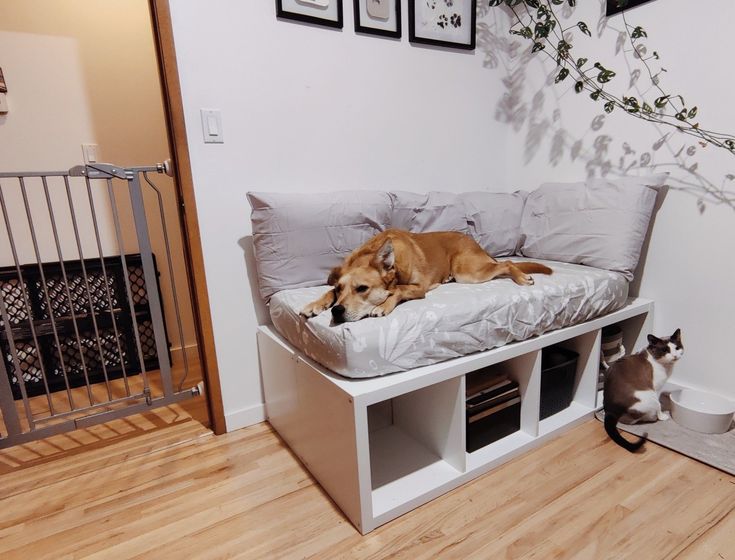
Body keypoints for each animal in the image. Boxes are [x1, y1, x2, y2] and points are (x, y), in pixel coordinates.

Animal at [300, 229, 552, 324]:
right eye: (340, 289)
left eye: (362, 288)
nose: (336, 311)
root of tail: (475, 243)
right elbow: (327, 291)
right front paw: (315, 304)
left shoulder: (418, 287)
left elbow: (398, 290)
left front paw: (383, 305)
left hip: (468, 273)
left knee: (508, 263)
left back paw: (522, 278)